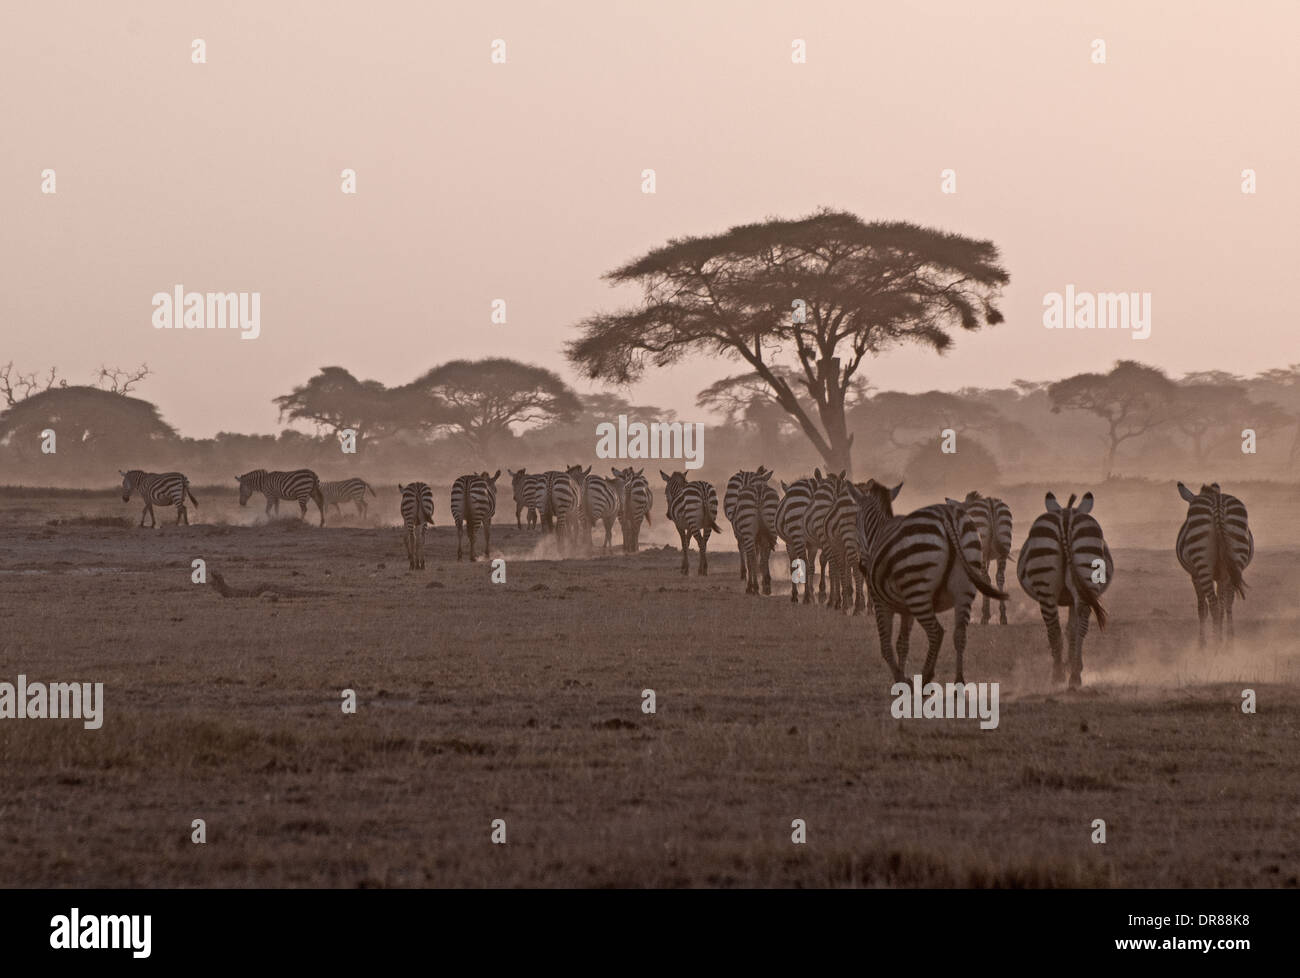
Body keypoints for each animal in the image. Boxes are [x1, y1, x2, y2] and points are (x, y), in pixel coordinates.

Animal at [774, 475, 816, 603]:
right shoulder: (812, 544)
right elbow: (811, 567)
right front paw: (812, 593)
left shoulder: (790, 543)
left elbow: (793, 567)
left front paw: (794, 595)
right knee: (809, 565)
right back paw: (810, 596)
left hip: (797, 535)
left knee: (804, 564)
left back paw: (806, 597)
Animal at [961, 488, 1008, 626]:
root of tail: (989, 502)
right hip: (1003, 546)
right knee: (999, 577)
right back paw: (1003, 617)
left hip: (981, 549)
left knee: (986, 579)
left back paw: (985, 617)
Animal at [1019, 488, 1112, 686]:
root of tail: (1066, 517)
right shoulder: (1073, 598)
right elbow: (1072, 629)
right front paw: (1073, 663)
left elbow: (1068, 629)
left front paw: (1068, 665)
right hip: (1086, 572)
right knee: (1080, 626)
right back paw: (1074, 675)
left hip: (1046, 588)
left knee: (1054, 629)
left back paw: (1058, 675)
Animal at [1175, 483, 1253, 650]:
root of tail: (1217, 503)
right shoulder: (1222, 575)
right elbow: (1223, 603)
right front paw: (1221, 638)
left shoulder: (1195, 575)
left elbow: (1202, 609)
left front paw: (1202, 645)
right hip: (1236, 558)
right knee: (1228, 604)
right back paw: (1229, 644)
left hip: (1202, 564)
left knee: (1213, 606)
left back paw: (1215, 647)